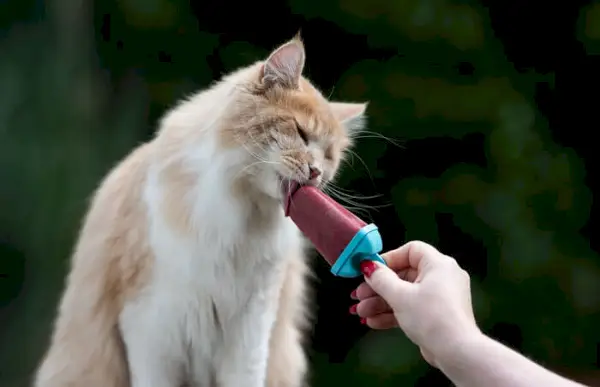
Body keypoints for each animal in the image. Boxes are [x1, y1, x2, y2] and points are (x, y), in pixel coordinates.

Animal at [36, 36, 366, 387]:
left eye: (329, 156)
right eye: (301, 133)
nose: (316, 172)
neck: (241, 211)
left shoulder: (252, 327)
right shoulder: (150, 327)